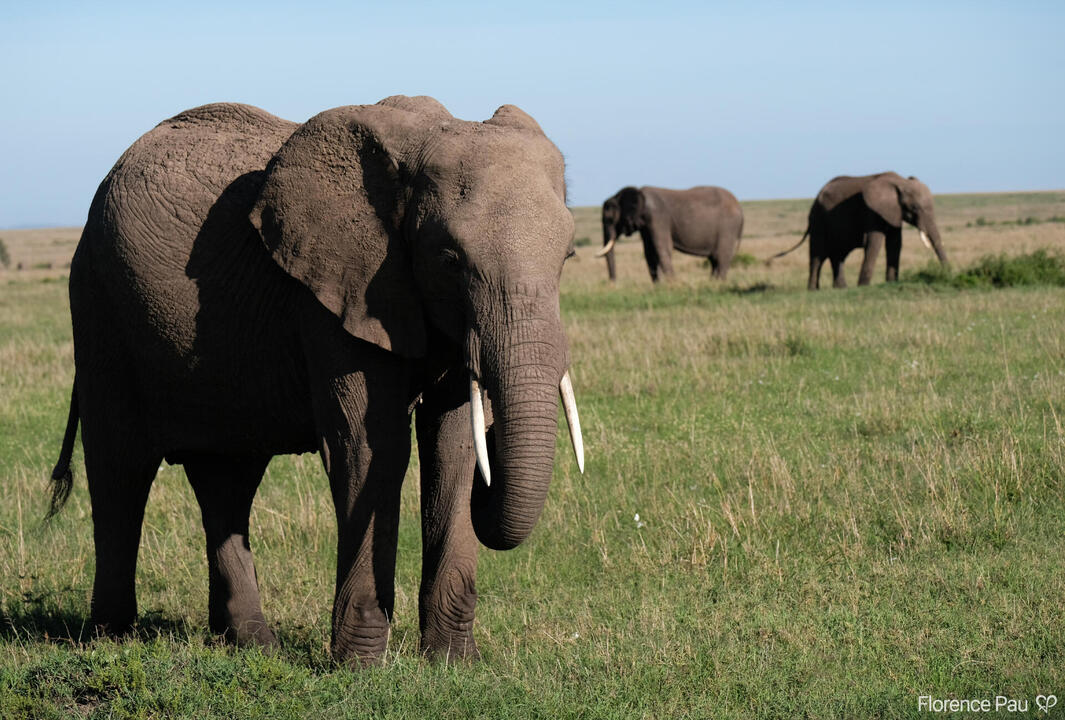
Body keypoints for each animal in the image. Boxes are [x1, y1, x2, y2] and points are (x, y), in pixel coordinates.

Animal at [48, 96, 585, 665]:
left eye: (568, 256)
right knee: (120, 467)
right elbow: (373, 451)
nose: (497, 436)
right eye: (449, 259)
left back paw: (252, 645)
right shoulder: (333, 296)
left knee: (227, 479)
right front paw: (360, 668)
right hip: (99, 304)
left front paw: (454, 662)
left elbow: (454, 449)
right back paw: (111, 637)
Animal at [596, 185, 744, 282]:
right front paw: (658, 285)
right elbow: (649, 252)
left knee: (721, 258)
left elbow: (662, 248)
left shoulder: (657, 217)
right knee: (714, 260)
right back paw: (712, 282)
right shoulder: (647, 225)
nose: (613, 282)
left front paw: (672, 284)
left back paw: (718, 283)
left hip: (728, 227)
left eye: (610, 219)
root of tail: (740, 208)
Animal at [771, 172, 948, 289]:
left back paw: (840, 288)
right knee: (818, 255)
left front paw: (891, 283)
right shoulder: (872, 212)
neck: (900, 182)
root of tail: (816, 196)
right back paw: (813, 290)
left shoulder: (893, 213)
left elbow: (895, 243)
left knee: (838, 255)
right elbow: (875, 242)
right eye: (915, 208)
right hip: (818, 219)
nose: (948, 272)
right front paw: (864, 286)